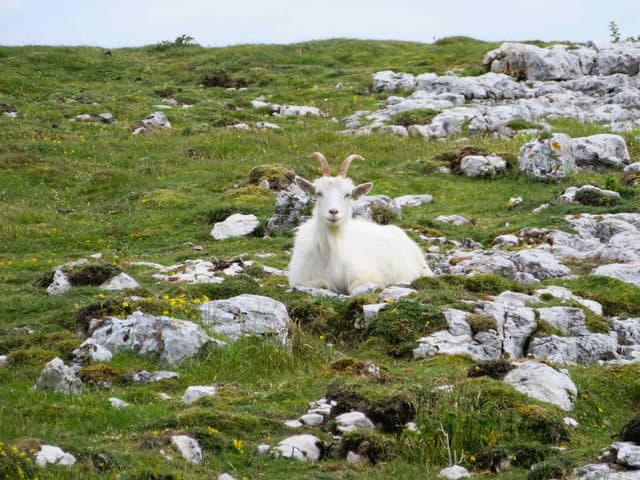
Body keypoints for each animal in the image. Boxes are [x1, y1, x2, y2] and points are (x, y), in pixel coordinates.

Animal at [288, 152, 433, 294]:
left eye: (348, 194)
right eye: (318, 193)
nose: (333, 212)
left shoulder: (367, 275)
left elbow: (355, 286)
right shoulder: (300, 279)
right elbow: (318, 282)